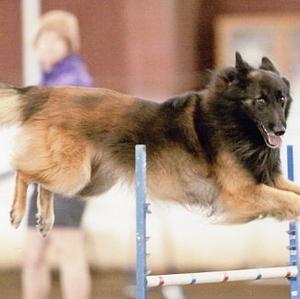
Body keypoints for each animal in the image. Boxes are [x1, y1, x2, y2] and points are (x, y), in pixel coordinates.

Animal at [0, 53, 300, 237]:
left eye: (282, 98)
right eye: (260, 101)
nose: (280, 130)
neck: (232, 120)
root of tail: (47, 92)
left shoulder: (267, 180)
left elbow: (293, 192)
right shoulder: (242, 192)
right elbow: (289, 200)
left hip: (89, 182)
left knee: (42, 182)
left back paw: (45, 218)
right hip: (74, 174)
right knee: (23, 172)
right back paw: (17, 212)